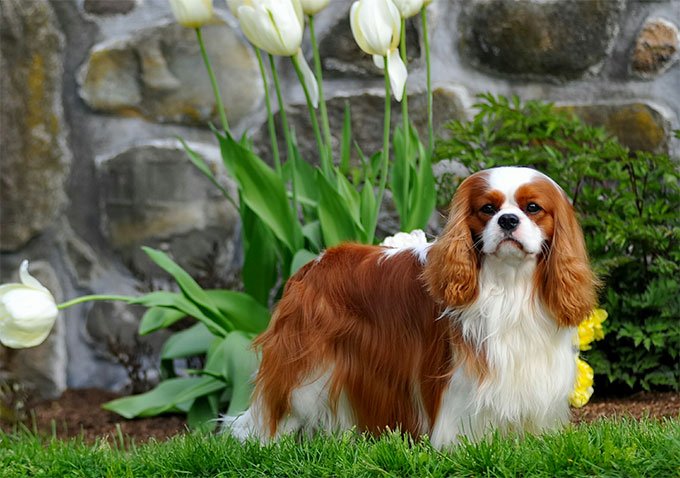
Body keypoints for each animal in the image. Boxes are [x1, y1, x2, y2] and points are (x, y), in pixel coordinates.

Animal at [226, 165, 596, 448]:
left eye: (532, 208)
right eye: (487, 210)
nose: (507, 220)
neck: (510, 282)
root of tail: (315, 262)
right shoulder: (458, 374)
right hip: (307, 367)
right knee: (279, 410)